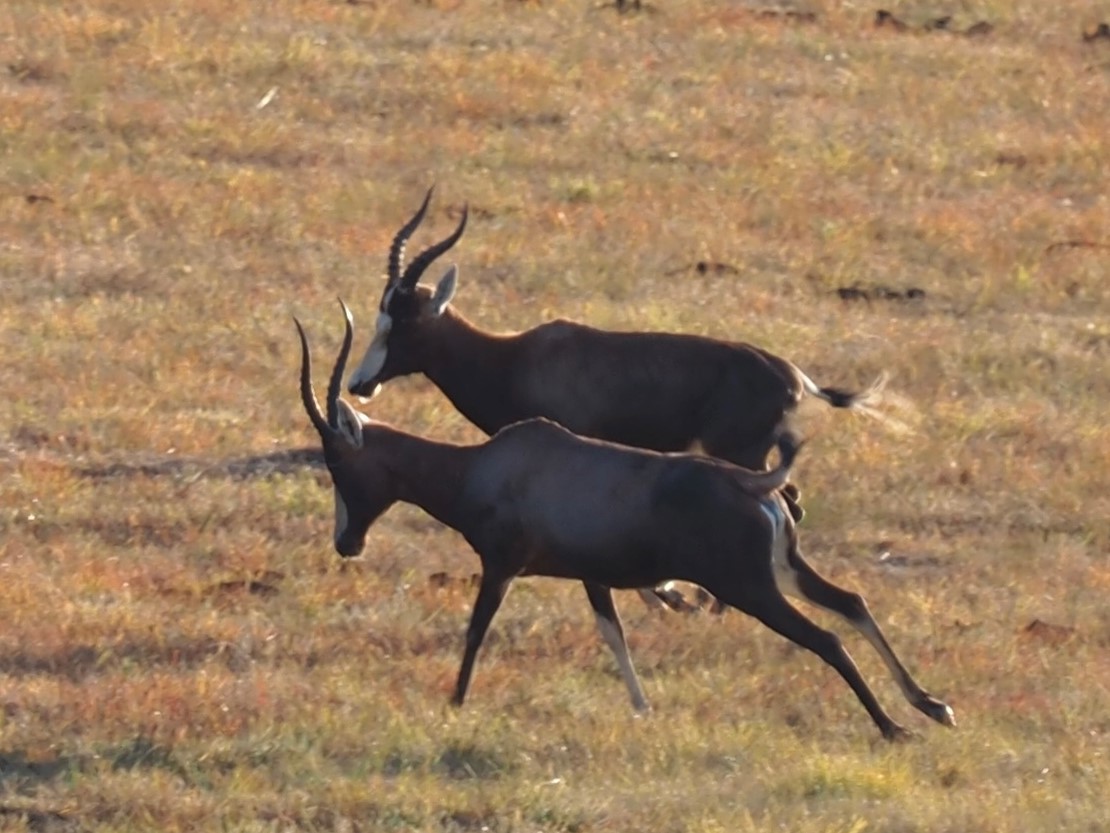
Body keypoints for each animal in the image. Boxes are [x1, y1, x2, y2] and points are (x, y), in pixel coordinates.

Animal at [301, 304, 954, 741]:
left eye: (338, 461)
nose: (346, 543)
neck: (490, 464)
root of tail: (755, 485)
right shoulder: (591, 576)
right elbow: (612, 632)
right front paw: (644, 709)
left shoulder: (501, 566)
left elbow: (477, 630)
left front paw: (456, 705)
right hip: (785, 570)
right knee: (851, 602)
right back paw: (932, 706)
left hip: (751, 588)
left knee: (826, 637)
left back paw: (894, 727)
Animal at [350, 188, 888, 613]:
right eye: (380, 317)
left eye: (406, 322)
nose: (359, 384)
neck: (514, 357)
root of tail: (793, 377)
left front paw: (667, 596)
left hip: (741, 455)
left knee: (787, 503)